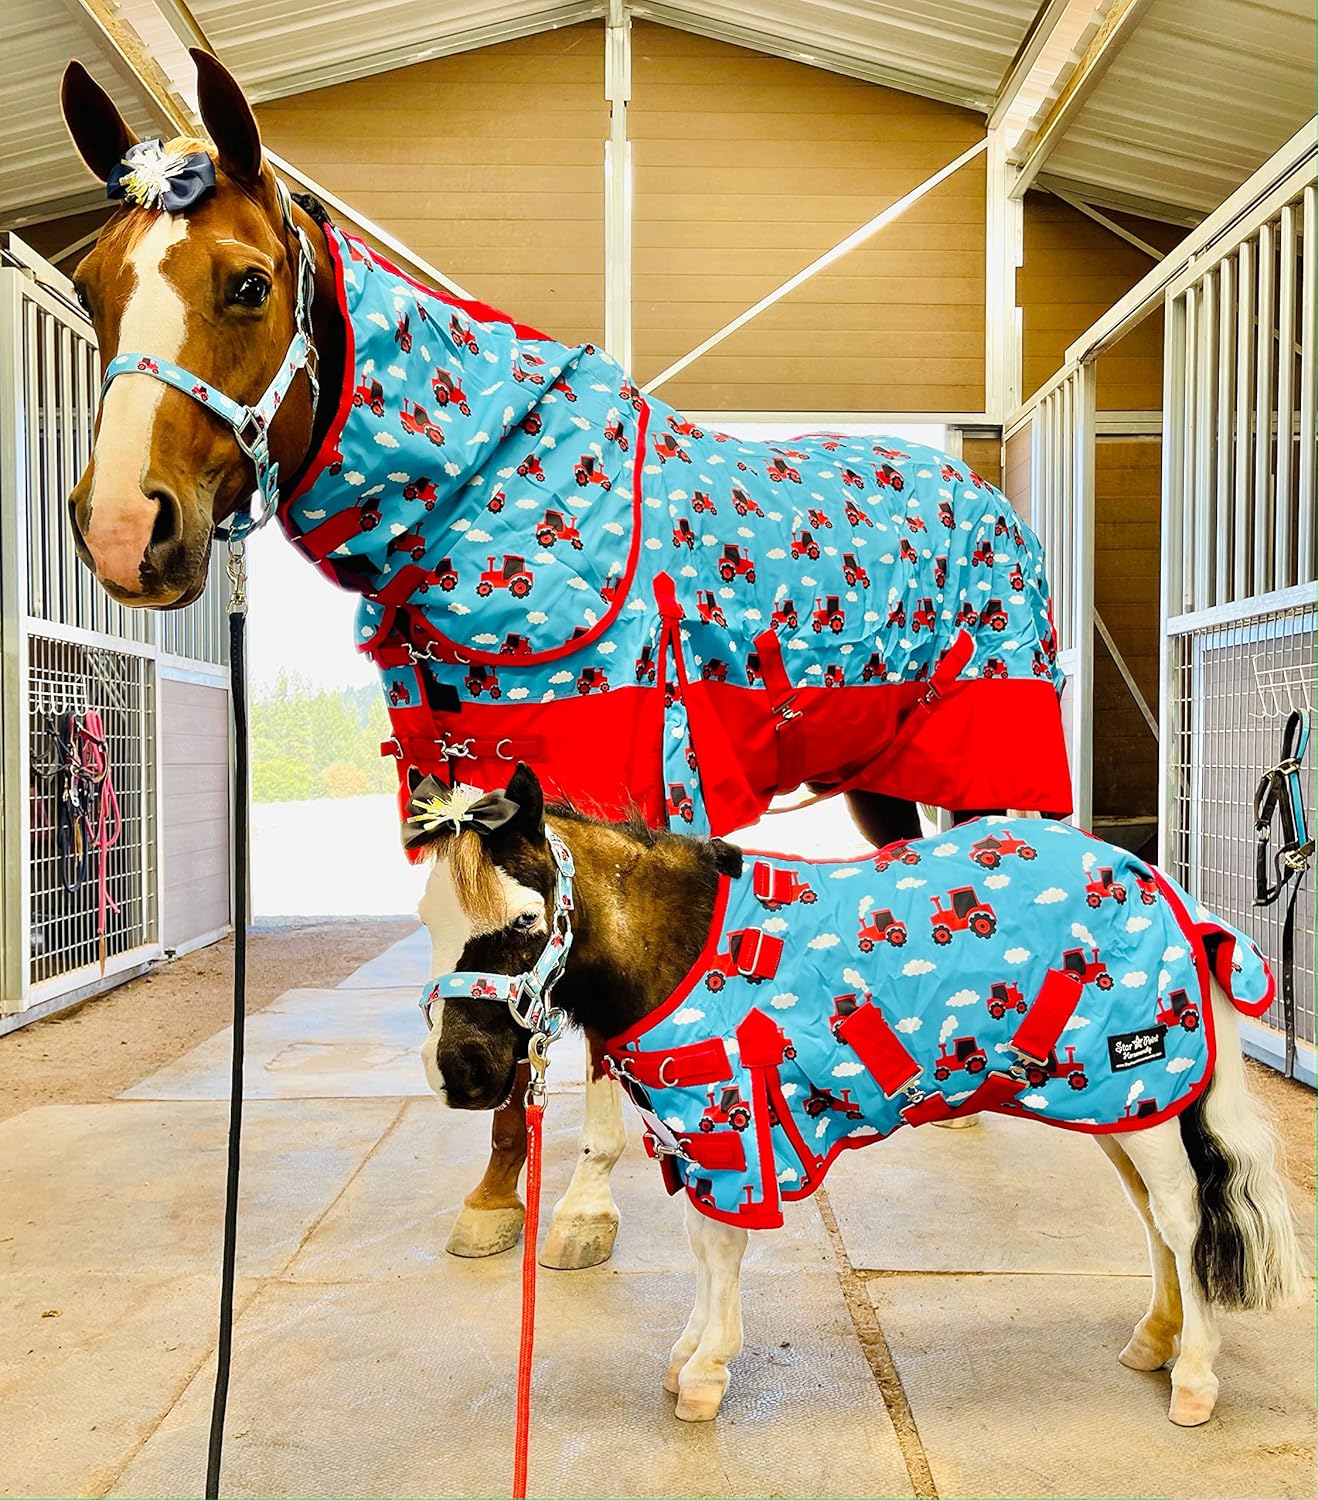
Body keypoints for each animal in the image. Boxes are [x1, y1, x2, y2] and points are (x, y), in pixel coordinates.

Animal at [58, 48, 1072, 1266]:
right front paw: (501, 1189)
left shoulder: (606, 773)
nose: (125, 530)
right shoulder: (464, 781)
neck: (483, 494)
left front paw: (584, 1203)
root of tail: (982, 490)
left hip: (993, 744)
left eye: (249, 284)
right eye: (88, 287)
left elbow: (588, 1013)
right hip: (876, 768)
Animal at [410, 762, 1301, 1427]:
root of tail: (1173, 896)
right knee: (1152, 1217)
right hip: (1124, 1104)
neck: (684, 945)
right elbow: (701, 1244)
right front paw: (688, 1354)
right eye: (427, 919)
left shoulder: (731, 1132)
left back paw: (1195, 1379)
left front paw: (704, 1373)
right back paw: (1155, 1341)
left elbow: (722, 1247)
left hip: (1144, 1095)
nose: (462, 1073)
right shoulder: (696, 1140)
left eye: (525, 922)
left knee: (1183, 1218)